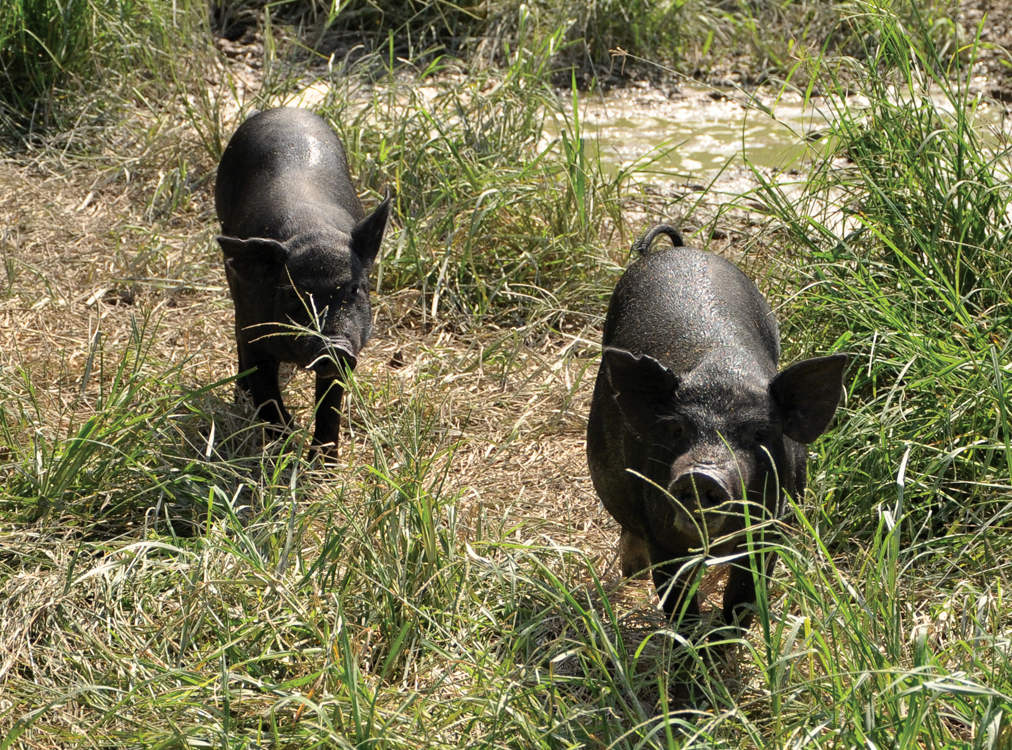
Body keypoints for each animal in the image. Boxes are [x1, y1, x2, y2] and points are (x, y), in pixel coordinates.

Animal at [217, 107, 390, 453]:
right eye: (294, 295)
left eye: (355, 289)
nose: (334, 347)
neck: (311, 230)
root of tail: (282, 109)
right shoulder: (254, 333)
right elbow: (267, 397)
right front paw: (283, 447)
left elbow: (330, 405)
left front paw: (323, 461)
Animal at [586, 226, 846, 631]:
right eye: (678, 430)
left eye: (759, 434)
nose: (701, 474)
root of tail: (678, 251)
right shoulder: (662, 535)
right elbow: (678, 603)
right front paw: (691, 643)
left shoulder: (770, 529)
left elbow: (743, 596)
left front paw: (729, 638)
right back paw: (632, 574)